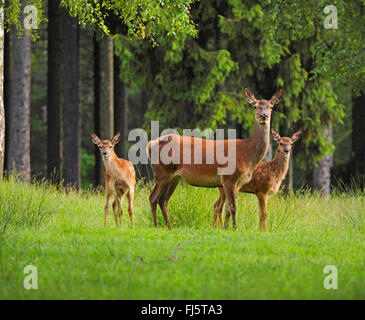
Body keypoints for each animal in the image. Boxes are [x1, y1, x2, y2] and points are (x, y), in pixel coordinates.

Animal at [146, 89, 282, 229]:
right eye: (254, 106)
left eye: (271, 106)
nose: (263, 116)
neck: (248, 154)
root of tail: (150, 144)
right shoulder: (228, 177)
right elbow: (233, 208)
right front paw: (234, 228)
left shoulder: (238, 183)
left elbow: (228, 209)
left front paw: (227, 229)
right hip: (162, 172)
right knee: (153, 198)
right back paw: (156, 225)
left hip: (175, 177)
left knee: (163, 200)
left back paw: (169, 226)